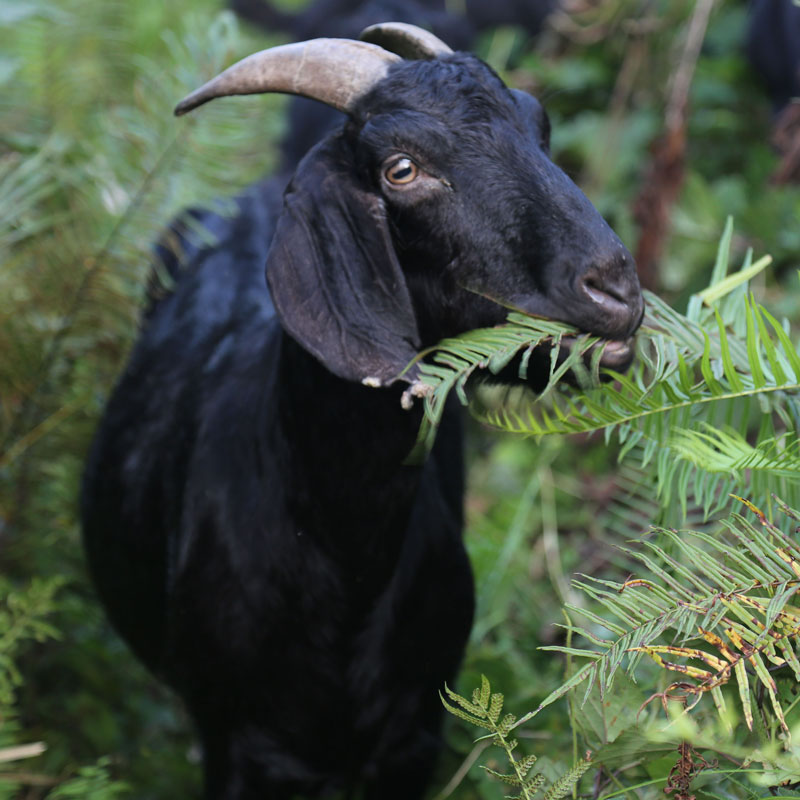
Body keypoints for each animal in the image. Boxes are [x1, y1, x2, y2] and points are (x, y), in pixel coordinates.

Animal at [83, 21, 644, 800]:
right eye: (401, 170)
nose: (614, 288)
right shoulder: (246, 746)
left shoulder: (412, 737)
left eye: (539, 125)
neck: (343, 555)